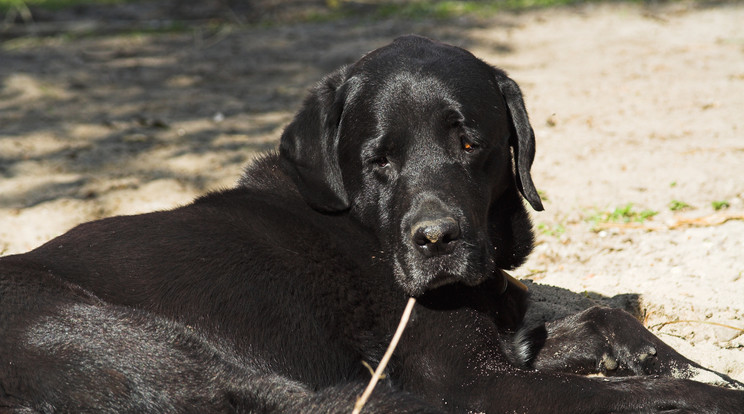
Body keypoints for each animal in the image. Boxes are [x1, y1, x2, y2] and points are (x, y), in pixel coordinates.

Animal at [1, 36, 744, 414]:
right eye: (377, 160)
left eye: (469, 143)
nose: (437, 241)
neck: (364, 230)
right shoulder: (476, 380)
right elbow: (644, 392)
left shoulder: (508, 342)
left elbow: (605, 320)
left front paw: (686, 361)